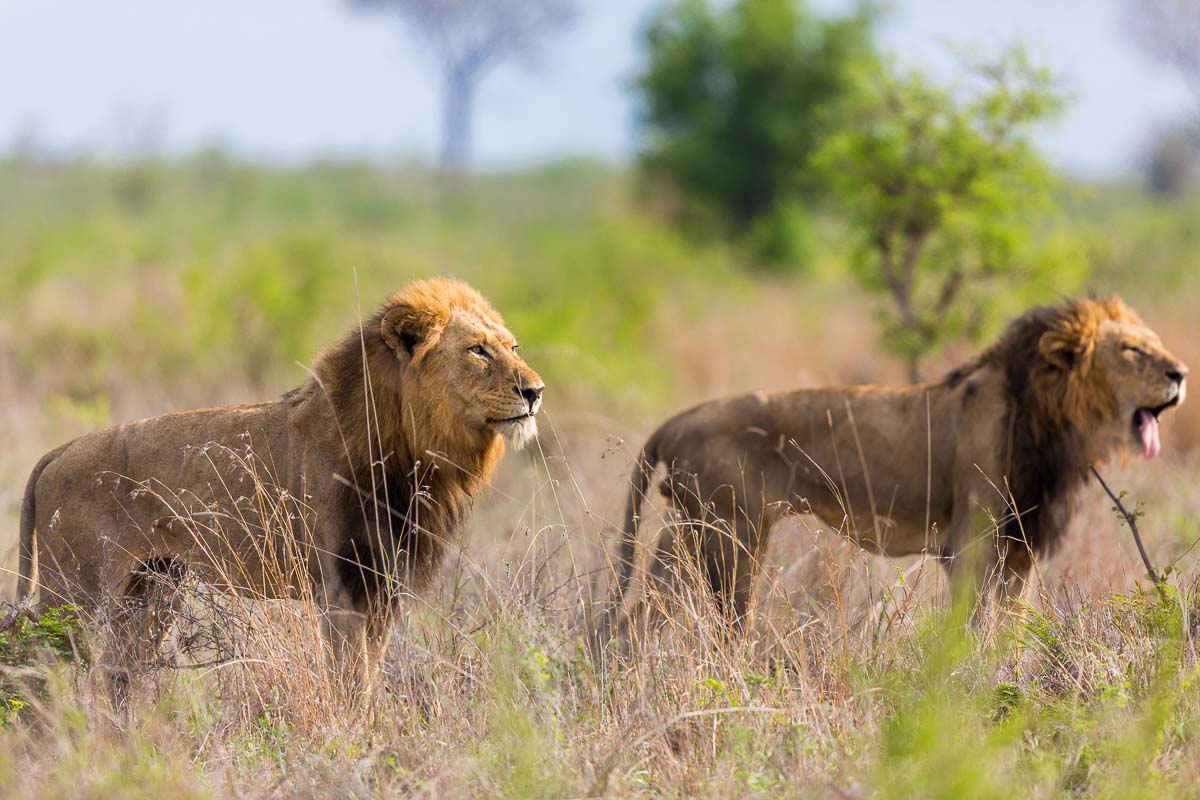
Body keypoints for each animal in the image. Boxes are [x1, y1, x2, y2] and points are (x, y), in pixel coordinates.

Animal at [14, 277, 544, 700]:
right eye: (478, 350)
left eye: (513, 348)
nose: (536, 391)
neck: (417, 454)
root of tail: (58, 451)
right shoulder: (341, 587)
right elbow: (350, 679)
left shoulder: (382, 588)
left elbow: (369, 676)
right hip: (76, 593)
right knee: (38, 667)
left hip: (149, 591)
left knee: (118, 673)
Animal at [609, 296, 1190, 633]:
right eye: (1133, 351)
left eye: (1154, 344)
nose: (1182, 374)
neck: (1051, 420)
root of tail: (676, 421)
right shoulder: (971, 543)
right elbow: (974, 627)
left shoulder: (1020, 546)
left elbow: (1012, 628)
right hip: (730, 537)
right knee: (714, 623)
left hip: (689, 531)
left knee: (636, 616)